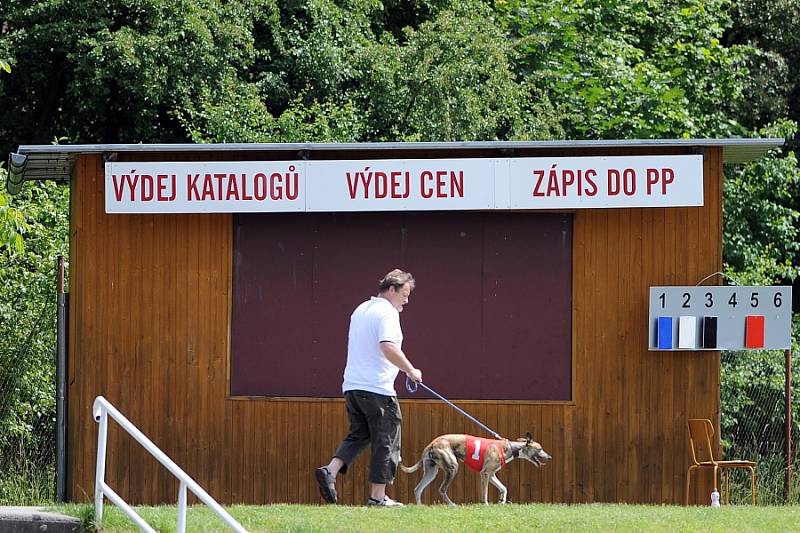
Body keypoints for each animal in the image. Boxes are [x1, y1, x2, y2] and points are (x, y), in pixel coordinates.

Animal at [400, 430, 552, 504]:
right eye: (540, 449)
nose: (550, 457)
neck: (509, 447)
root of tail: (432, 443)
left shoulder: (491, 474)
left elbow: (504, 488)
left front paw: (502, 500)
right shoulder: (484, 474)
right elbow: (484, 494)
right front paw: (485, 505)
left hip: (431, 471)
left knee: (417, 489)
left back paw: (420, 507)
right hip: (452, 467)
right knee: (442, 489)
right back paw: (452, 505)